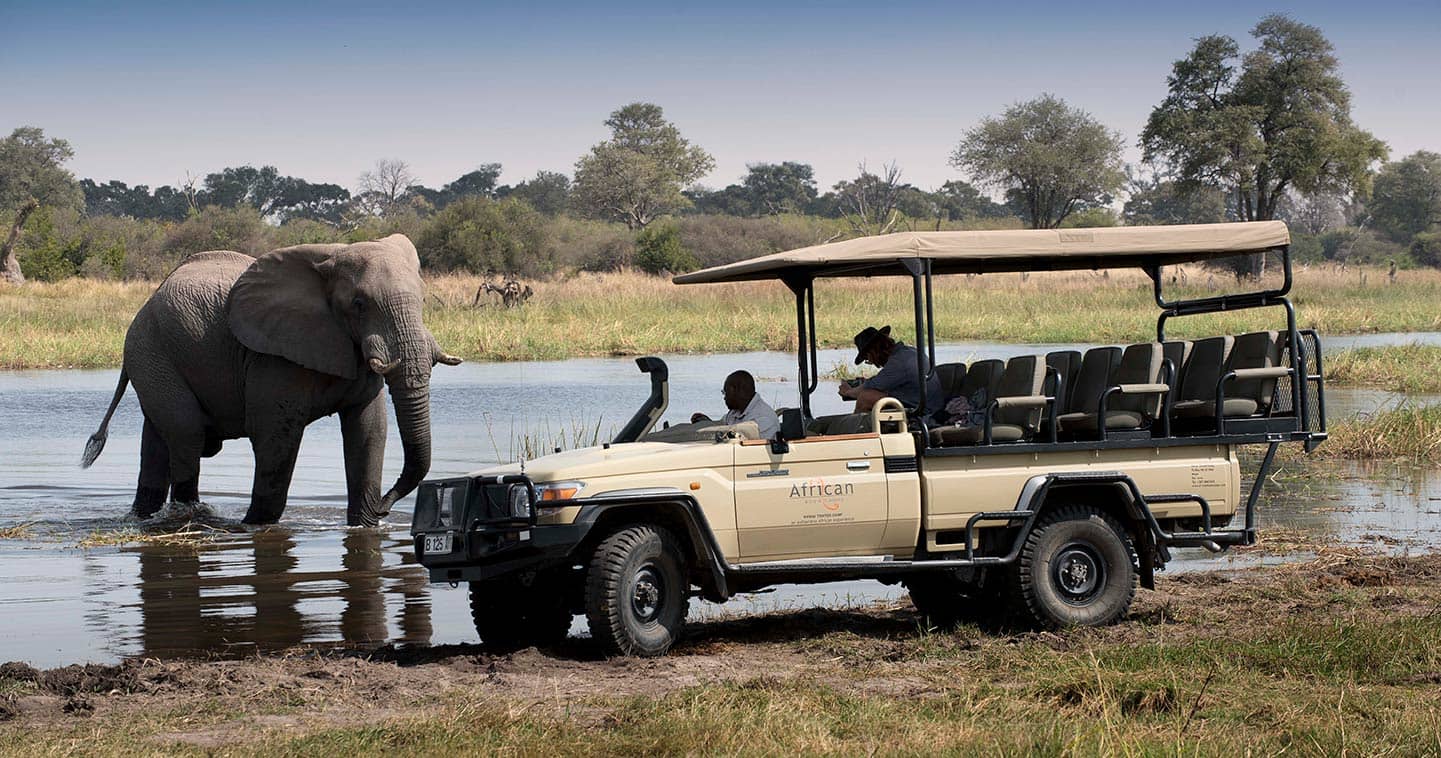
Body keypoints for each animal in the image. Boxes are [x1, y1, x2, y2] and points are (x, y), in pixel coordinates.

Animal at [80, 236, 461, 530]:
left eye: (423, 300)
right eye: (359, 304)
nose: (385, 507)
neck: (330, 257)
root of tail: (145, 305)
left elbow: (369, 430)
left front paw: (366, 526)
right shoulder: (273, 356)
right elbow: (276, 436)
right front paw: (255, 526)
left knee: (158, 441)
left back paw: (141, 517)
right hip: (151, 352)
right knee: (187, 436)